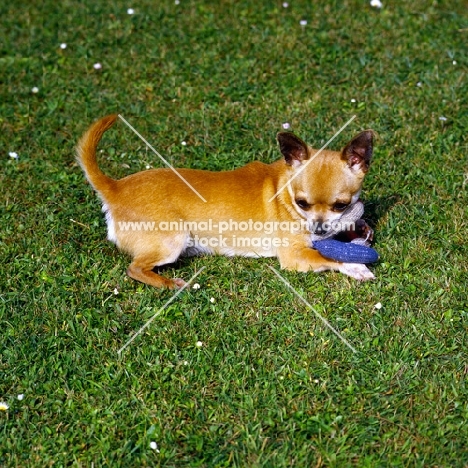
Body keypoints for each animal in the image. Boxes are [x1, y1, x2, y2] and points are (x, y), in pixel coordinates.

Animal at [77, 115, 376, 288]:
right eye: (302, 203)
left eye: (340, 205)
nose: (319, 229)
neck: (283, 190)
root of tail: (115, 187)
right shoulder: (295, 256)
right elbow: (330, 257)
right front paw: (356, 267)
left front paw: (359, 228)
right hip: (173, 239)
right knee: (135, 268)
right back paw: (168, 283)